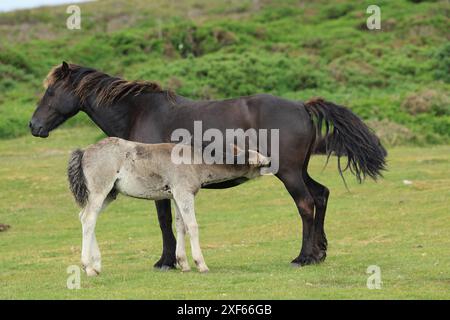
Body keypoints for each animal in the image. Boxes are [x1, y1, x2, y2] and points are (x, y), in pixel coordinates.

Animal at [67, 136, 270, 276]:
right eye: (258, 161)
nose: (269, 160)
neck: (195, 160)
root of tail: (85, 151)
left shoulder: (176, 196)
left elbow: (181, 226)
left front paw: (184, 264)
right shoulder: (184, 194)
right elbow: (192, 226)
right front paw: (201, 264)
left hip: (110, 194)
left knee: (86, 218)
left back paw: (96, 265)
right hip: (100, 190)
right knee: (89, 218)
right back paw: (88, 267)